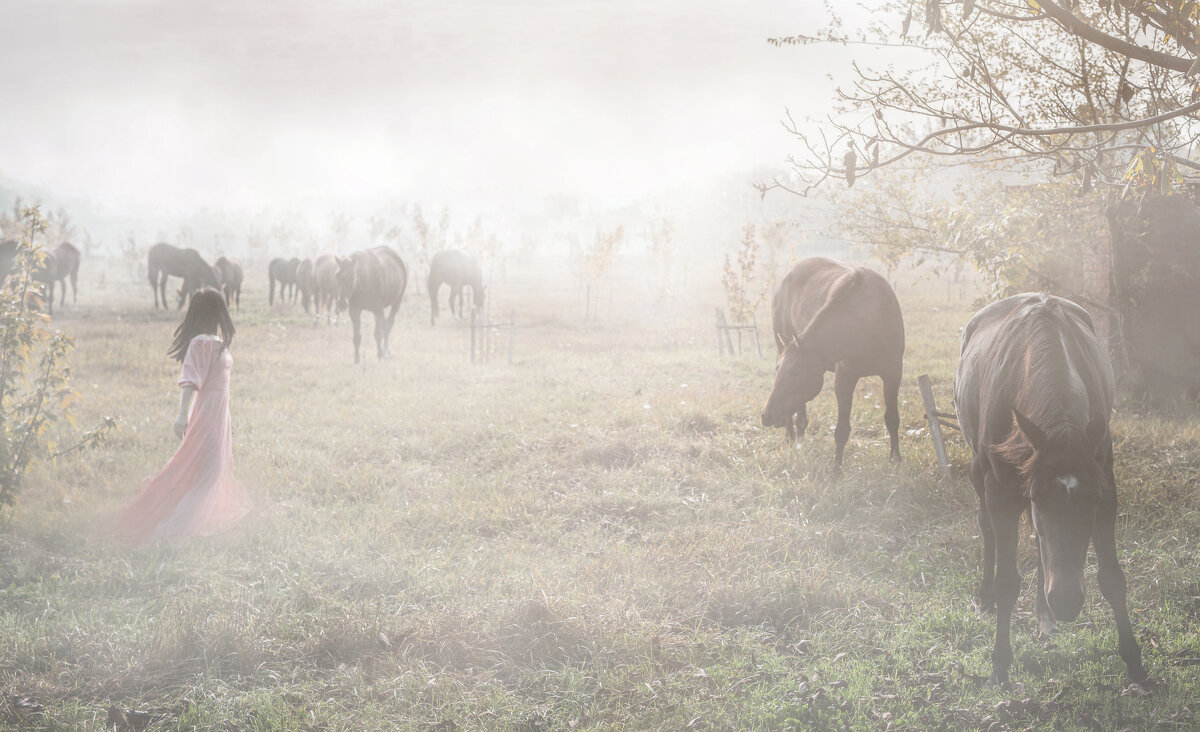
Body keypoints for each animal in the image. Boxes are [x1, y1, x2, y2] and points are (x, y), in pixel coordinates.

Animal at [758, 256, 902, 460]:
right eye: (777, 370)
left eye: (795, 373)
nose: (766, 415)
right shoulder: (844, 378)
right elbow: (841, 430)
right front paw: (837, 467)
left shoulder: (893, 373)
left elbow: (892, 418)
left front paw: (895, 458)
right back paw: (791, 437)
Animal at [955, 290, 1142, 681]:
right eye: (1038, 498)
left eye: (1092, 500)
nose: (1067, 602)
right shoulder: (1002, 492)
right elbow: (1007, 580)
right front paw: (1000, 664)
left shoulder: (1107, 487)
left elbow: (1112, 577)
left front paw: (1134, 660)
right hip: (978, 473)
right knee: (987, 530)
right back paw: (986, 597)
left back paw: (1045, 616)